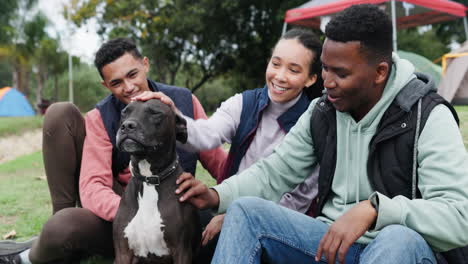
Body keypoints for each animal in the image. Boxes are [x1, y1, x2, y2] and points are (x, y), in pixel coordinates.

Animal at [114, 99, 201, 264]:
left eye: (155, 113)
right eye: (124, 112)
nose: (127, 126)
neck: (149, 179)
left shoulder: (182, 251)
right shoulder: (123, 252)